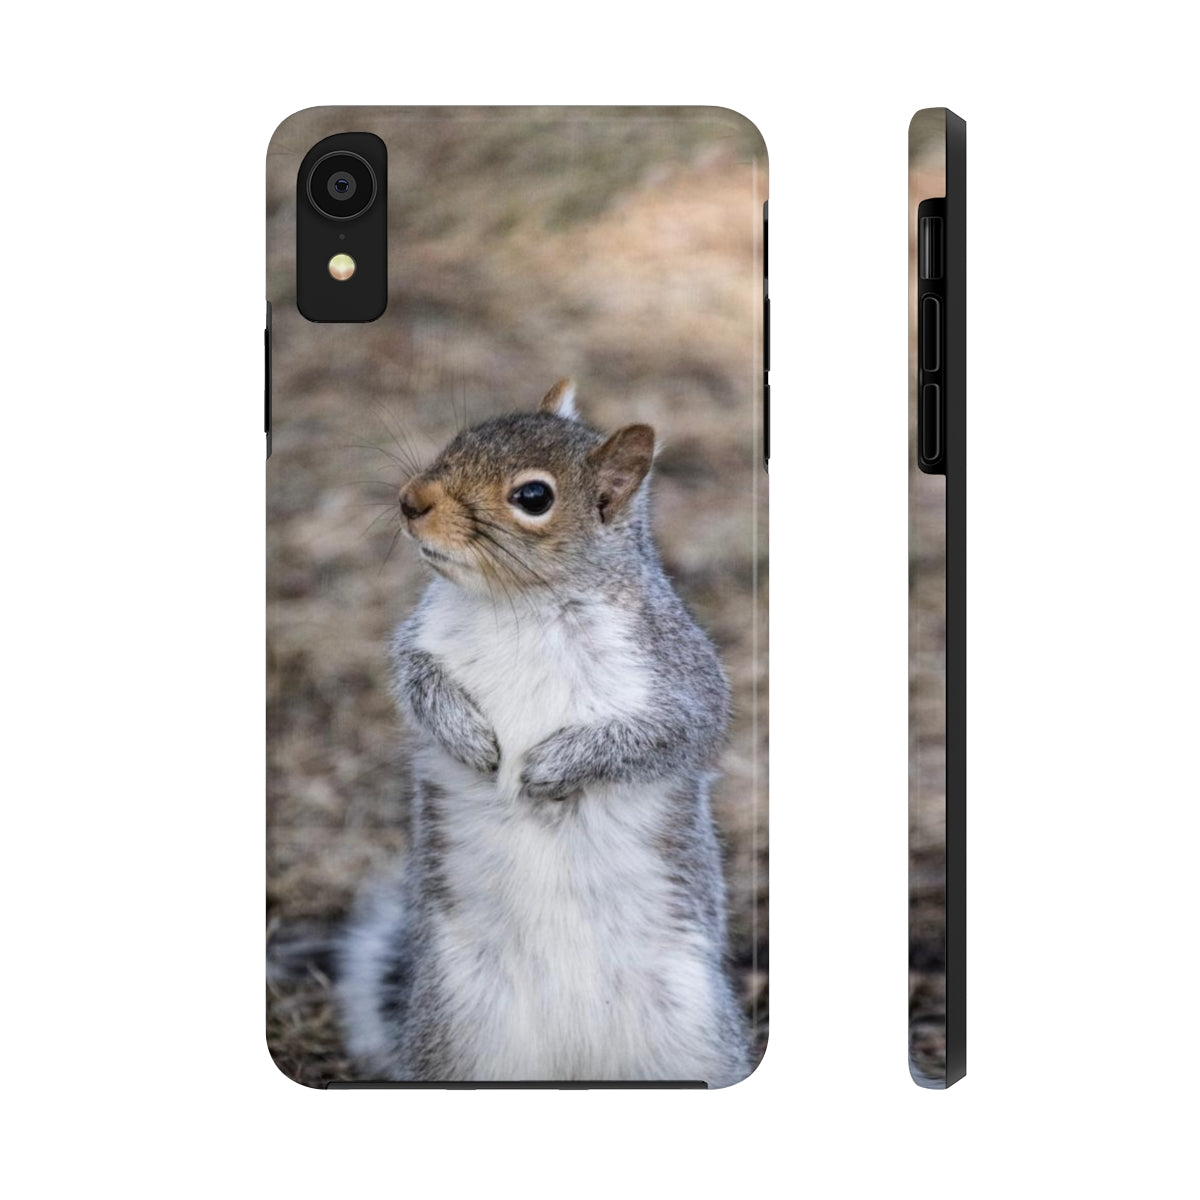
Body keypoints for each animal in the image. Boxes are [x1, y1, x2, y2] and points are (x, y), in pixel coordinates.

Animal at [337, 380, 750, 1086]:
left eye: (534, 497)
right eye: (460, 439)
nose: (411, 501)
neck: (520, 604)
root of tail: (572, 1060)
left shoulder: (678, 678)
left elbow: (667, 734)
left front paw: (553, 766)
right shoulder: (420, 640)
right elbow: (416, 681)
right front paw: (468, 735)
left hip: (688, 1031)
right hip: (460, 1032)